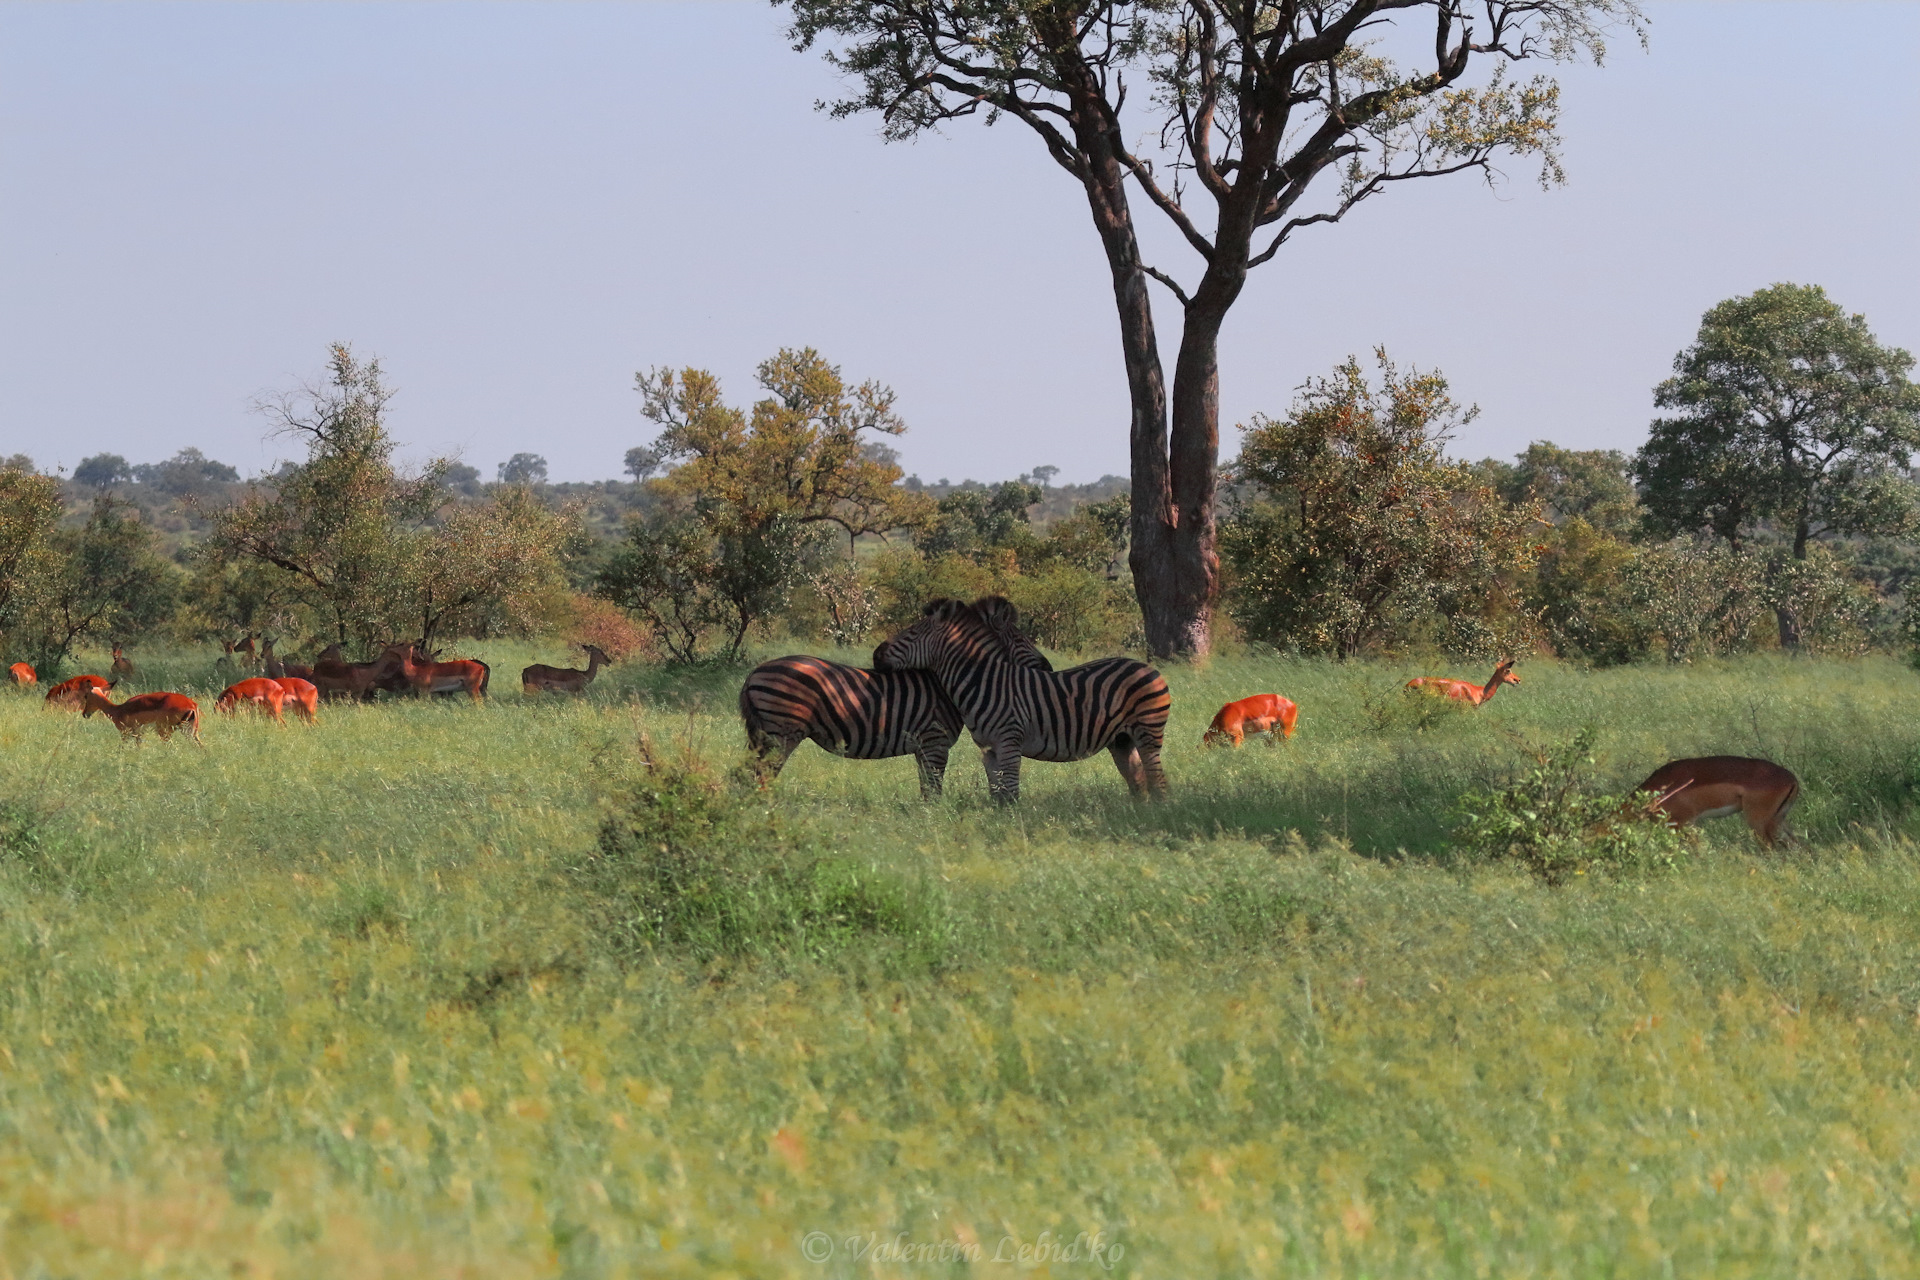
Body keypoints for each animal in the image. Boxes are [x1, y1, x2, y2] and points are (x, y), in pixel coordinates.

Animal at [741, 617, 1059, 790]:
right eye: (1019, 639)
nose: (1049, 668)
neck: (946, 686)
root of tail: (754, 673)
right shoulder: (935, 742)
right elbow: (933, 788)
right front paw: (934, 822)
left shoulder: (924, 746)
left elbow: (926, 787)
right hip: (781, 734)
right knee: (761, 775)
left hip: (763, 736)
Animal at [875, 598, 1167, 802]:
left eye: (911, 634)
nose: (876, 655)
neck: (984, 682)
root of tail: (1148, 668)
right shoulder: (988, 750)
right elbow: (997, 794)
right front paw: (999, 824)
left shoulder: (1009, 742)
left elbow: (1011, 793)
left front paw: (1015, 827)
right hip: (1121, 740)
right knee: (1139, 781)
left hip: (1148, 733)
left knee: (1158, 780)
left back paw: (1158, 813)